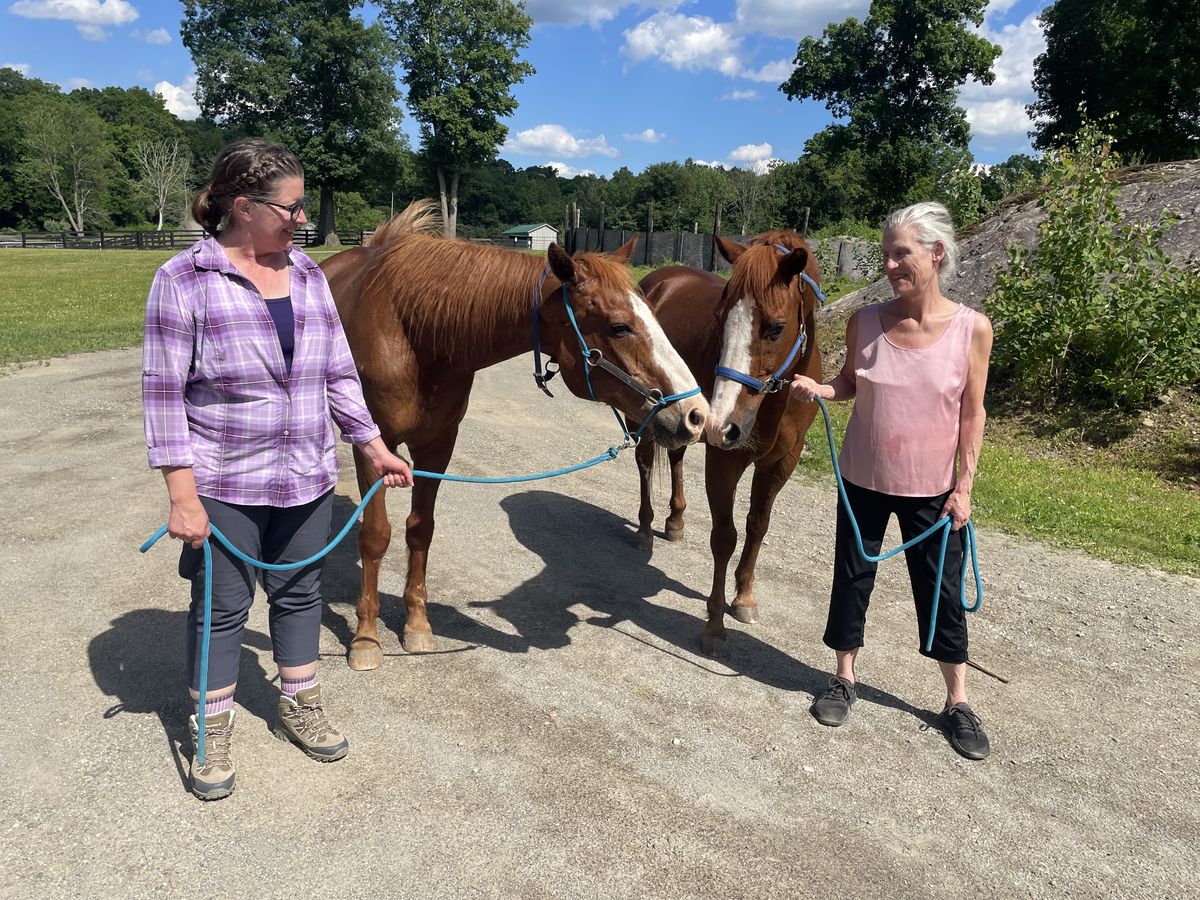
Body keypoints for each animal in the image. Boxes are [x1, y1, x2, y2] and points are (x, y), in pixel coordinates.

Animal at [320, 201, 710, 669]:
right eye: (619, 327)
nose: (696, 415)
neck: (414, 334)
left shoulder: (438, 445)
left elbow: (420, 529)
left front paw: (416, 625)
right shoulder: (371, 448)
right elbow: (375, 536)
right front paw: (365, 638)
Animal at [633, 231, 823, 655]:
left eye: (775, 327)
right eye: (720, 319)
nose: (722, 423)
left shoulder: (781, 463)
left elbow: (757, 527)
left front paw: (745, 598)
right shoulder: (724, 460)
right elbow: (725, 537)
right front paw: (715, 625)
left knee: (675, 459)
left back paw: (675, 521)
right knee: (645, 463)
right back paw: (644, 529)